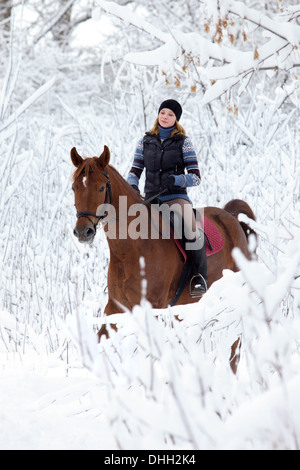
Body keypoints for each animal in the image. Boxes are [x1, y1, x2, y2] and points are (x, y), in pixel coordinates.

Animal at [69, 145, 255, 372]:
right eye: (74, 188)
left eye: (101, 188)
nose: (83, 231)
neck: (132, 250)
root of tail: (230, 216)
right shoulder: (116, 308)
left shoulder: (152, 308)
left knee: (235, 344)